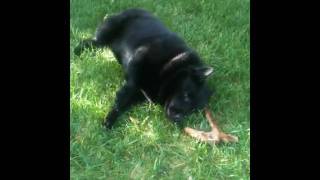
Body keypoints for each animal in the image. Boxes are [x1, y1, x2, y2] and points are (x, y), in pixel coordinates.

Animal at [74, 8, 214, 129]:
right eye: (186, 95)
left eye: (193, 110)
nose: (177, 119)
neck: (172, 66)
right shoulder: (140, 58)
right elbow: (123, 98)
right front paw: (109, 121)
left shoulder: (141, 94)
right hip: (106, 34)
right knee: (91, 42)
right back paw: (77, 51)